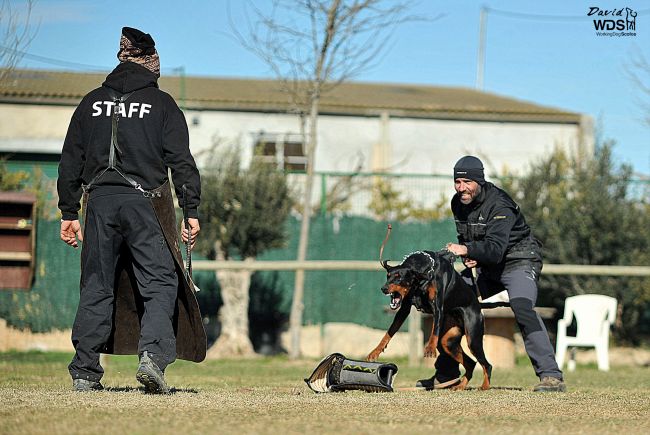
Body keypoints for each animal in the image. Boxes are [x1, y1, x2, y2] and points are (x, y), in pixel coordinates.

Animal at [366, 250, 492, 390]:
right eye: (388, 276)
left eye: (399, 277)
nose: (384, 288)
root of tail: (478, 306)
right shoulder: (404, 309)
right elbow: (389, 332)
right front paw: (375, 351)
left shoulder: (437, 308)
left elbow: (434, 330)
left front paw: (430, 348)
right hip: (448, 342)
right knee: (470, 363)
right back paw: (460, 386)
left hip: (473, 337)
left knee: (487, 365)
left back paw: (484, 386)